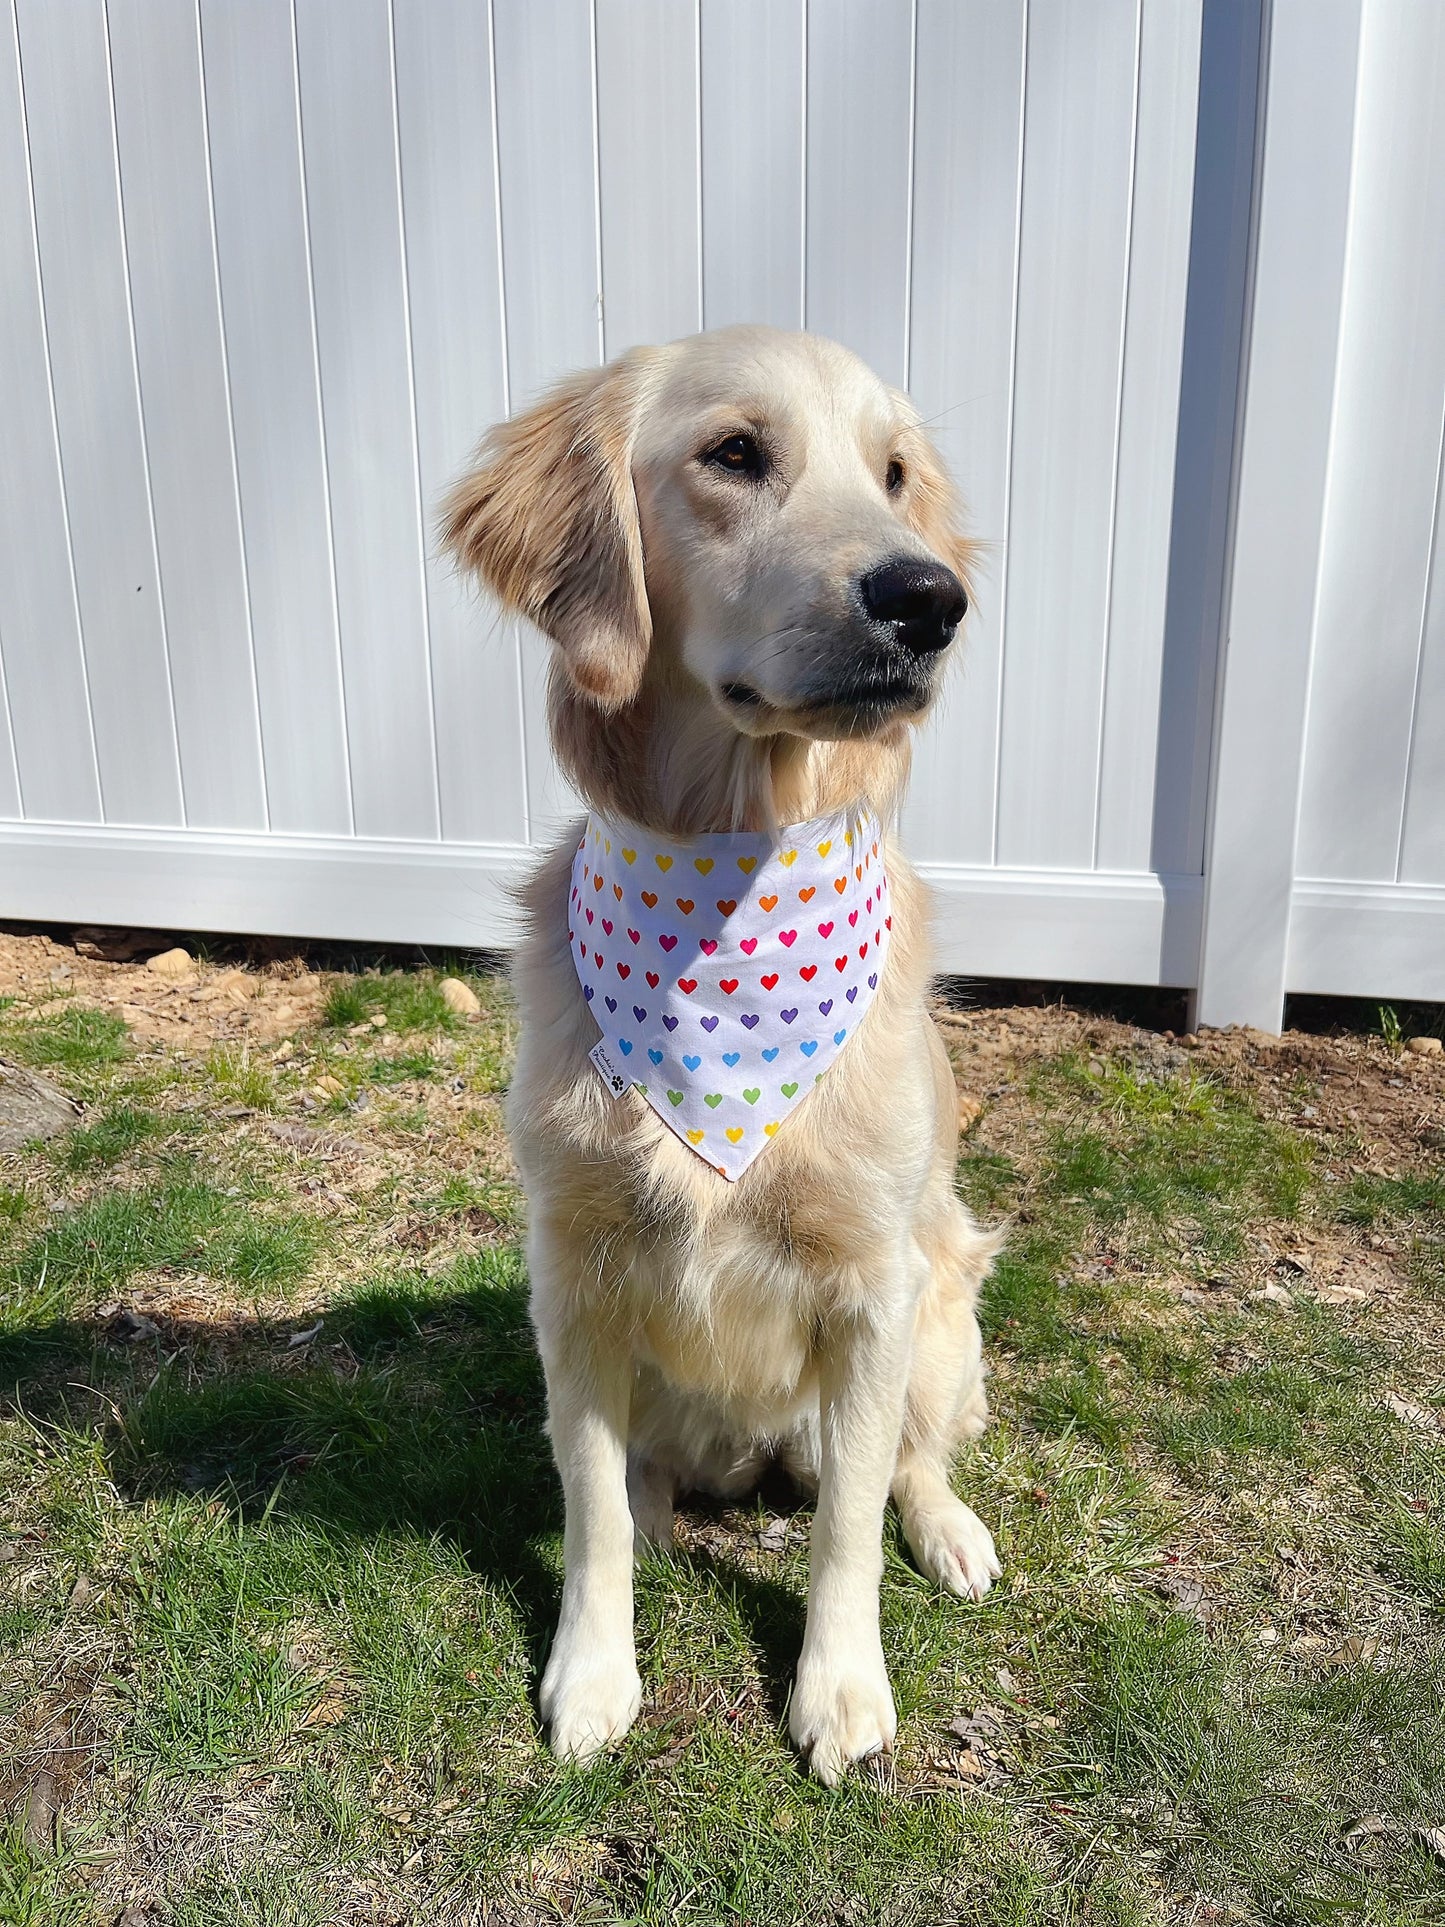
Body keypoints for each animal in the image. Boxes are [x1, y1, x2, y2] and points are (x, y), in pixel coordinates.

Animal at [446, 323, 1001, 1780]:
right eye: (735, 453)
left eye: (893, 473)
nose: (927, 598)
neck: (729, 877)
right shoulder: (574, 1276)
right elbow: (590, 1506)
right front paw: (591, 1673)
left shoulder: (870, 1285)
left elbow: (849, 1521)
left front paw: (840, 1689)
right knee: (642, 1484)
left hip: (943, 1306)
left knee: (914, 1460)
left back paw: (952, 1530)